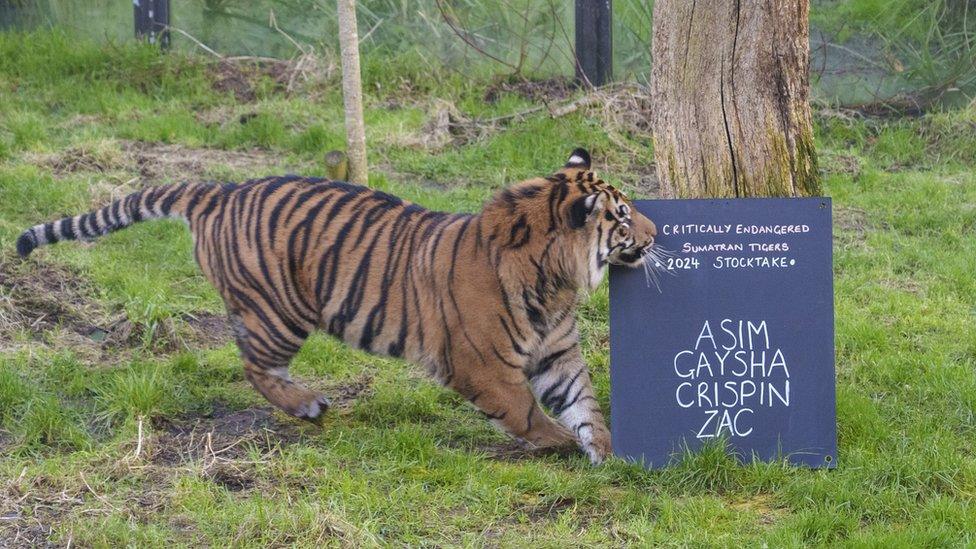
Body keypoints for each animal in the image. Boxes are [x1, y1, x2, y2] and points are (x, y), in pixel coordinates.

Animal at [15, 148, 656, 464]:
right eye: (622, 217)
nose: (654, 233)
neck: (555, 282)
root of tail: (219, 189)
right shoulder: (483, 364)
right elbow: (525, 410)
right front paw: (558, 443)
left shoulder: (557, 353)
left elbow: (585, 404)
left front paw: (605, 451)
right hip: (280, 312)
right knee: (252, 364)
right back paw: (305, 404)